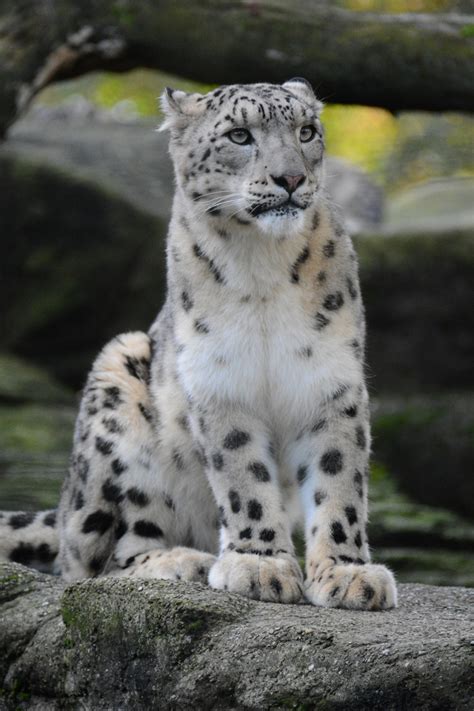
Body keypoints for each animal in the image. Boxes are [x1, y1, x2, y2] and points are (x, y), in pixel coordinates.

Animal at [0, 79, 396, 612]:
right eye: (239, 135)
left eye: (307, 131)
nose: (291, 177)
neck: (262, 264)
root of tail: (62, 509)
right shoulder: (219, 379)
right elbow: (243, 475)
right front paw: (261, 565)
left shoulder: (329, 380)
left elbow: (338, 479)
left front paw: (348, 573)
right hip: (116, 380)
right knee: (94, 562)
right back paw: (184, 561)